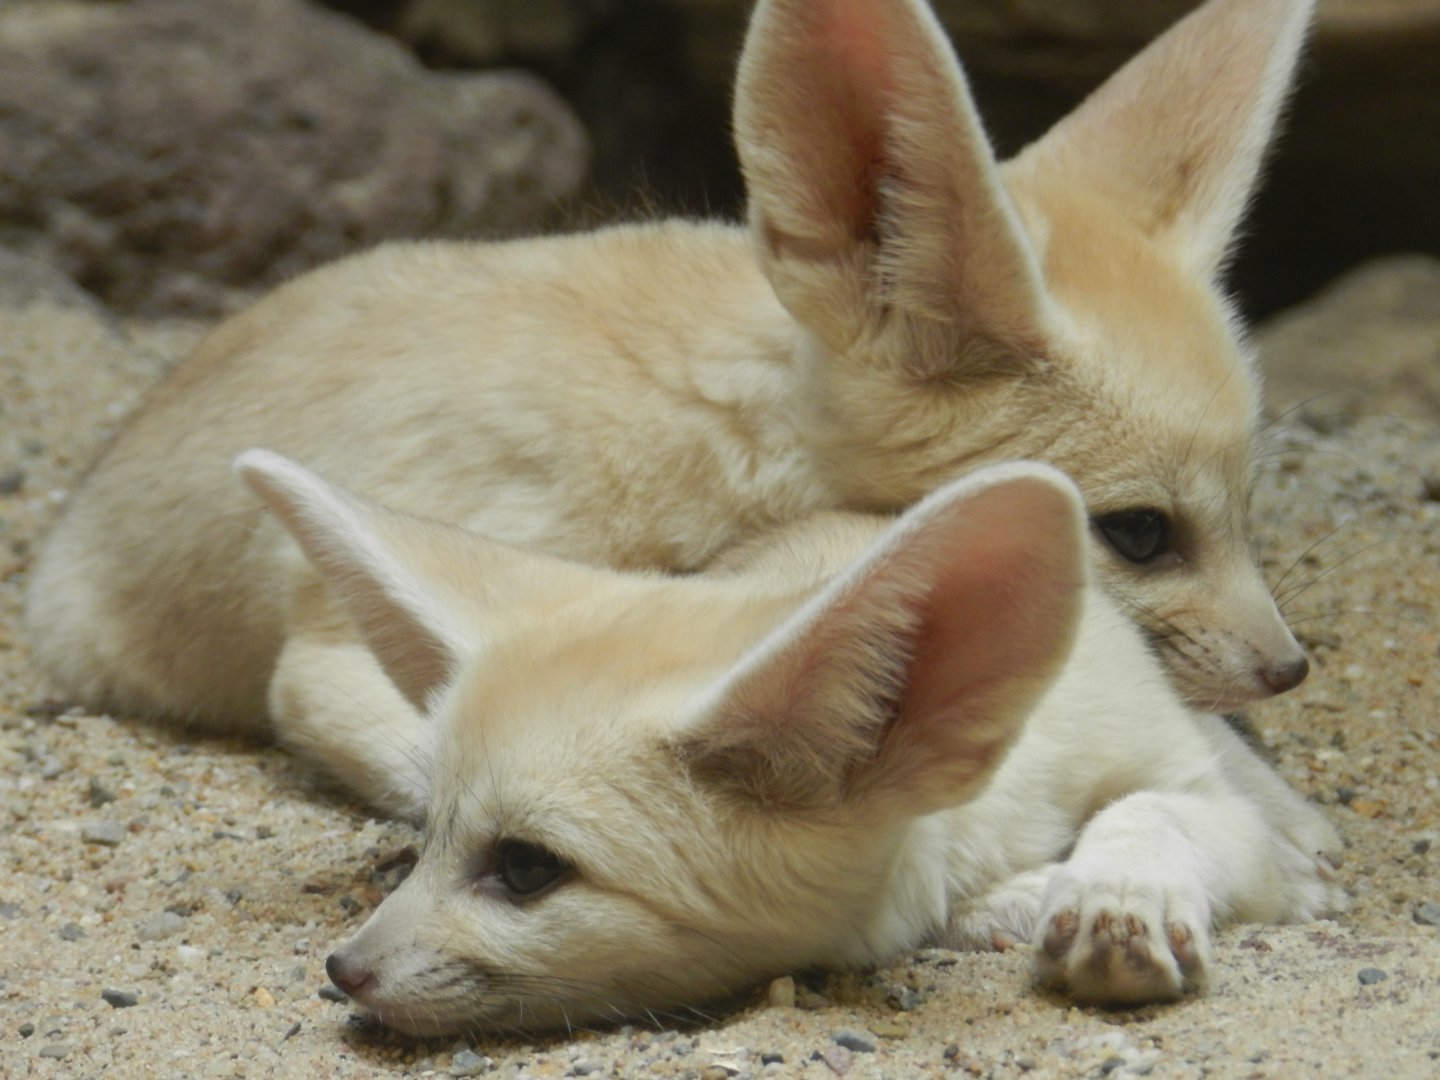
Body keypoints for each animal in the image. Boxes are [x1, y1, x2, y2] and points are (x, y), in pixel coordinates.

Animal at [232, 450, 1343, 1035]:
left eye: (527, 868)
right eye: (425, 839)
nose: (342, 970)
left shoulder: (1169, 770)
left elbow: (1158, 804)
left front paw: (1119, 899)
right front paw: (1012, 903)